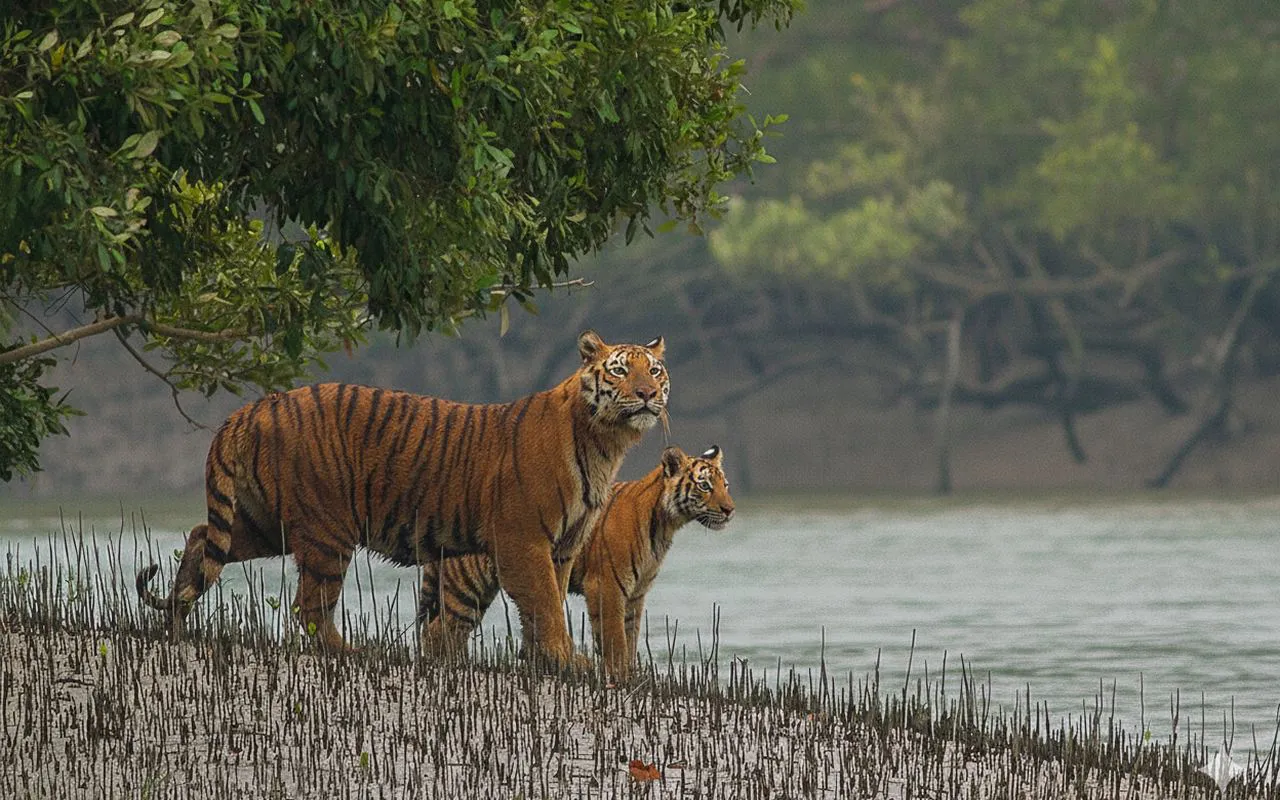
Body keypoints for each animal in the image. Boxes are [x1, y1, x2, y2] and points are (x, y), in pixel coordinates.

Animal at [135, 330, 669, 670]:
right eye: (620, 371)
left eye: (655, 371)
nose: (647, 394)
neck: (606, 443)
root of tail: (256, 405)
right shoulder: (524, 539)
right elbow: (544, 604)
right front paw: (568, 661)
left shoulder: (563, 545)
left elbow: (548, 604)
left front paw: (546, 661)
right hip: (327, 530)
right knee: (310, 606)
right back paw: (352, 653)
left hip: (267, 523)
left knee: (201, 538)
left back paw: (175, 622)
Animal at [418, 444, 734, 680]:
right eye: (705, 486)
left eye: (726, 485)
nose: (730, 510)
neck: (666, 525)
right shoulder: (607, 586)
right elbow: (615, 639)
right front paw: (619, 677)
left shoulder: (635, 594)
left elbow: (630, 637)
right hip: (467, 583)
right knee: (438, 632)